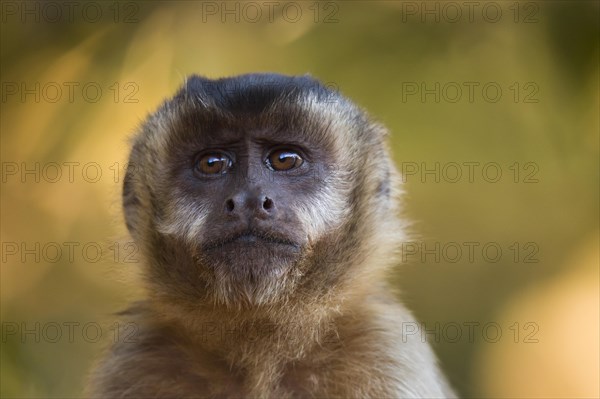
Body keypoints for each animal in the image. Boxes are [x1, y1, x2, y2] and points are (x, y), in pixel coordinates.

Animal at [88, 73, 454, 398]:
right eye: (212, 163)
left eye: (285, 160)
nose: (249, 199)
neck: (261, 349)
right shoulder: (137, 360)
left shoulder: (385, 350)